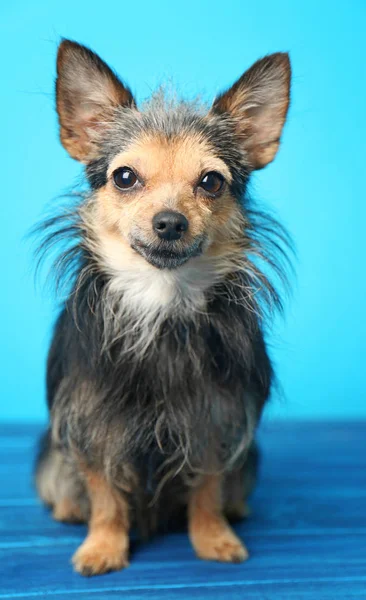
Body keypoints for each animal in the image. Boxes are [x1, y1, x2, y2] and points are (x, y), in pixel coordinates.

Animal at [34, 38, 292, 576]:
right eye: (124, 177)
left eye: (211, 182)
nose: (170, 223)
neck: (162, 301)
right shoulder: (91, 419)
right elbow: (104, 492)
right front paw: (103, 546)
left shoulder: (218, 418)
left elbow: (208, 486)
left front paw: (212, 537)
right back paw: (69, 509)